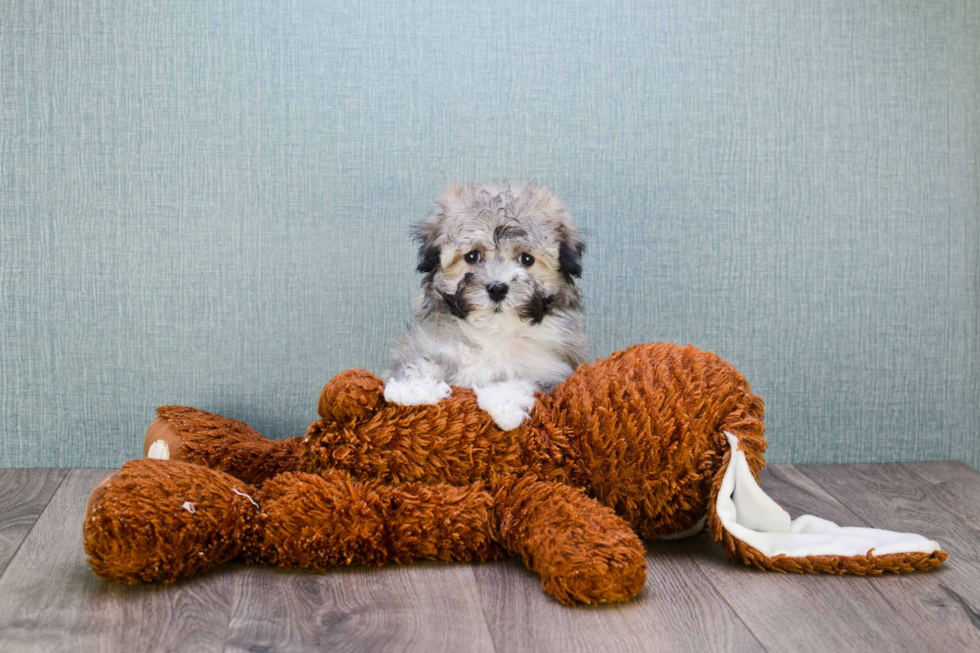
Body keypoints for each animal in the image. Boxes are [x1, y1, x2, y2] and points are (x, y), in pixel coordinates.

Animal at [384, 181, 588, 430]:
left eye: (526, 259)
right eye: (472, 256)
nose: (497, 288)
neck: (495, 332)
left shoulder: (552, 371)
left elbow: (521, 381)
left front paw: (503, 405)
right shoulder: (435, 344)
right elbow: (422, 360)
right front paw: (410, 388)